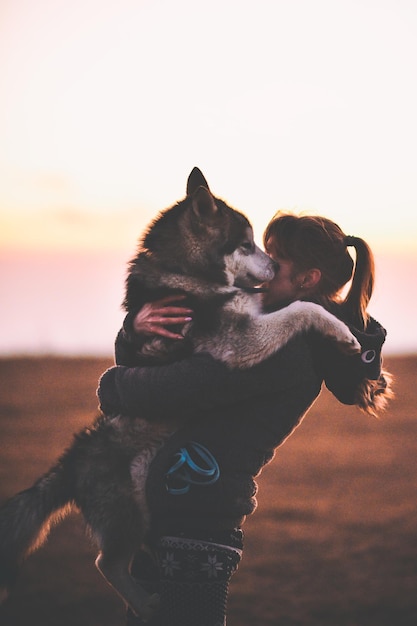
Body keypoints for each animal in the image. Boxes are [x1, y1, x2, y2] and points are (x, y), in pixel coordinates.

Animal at [0, 167, 358, 620]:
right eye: (246, 244)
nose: (277, 265)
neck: (188, 271)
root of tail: (74, 460)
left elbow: (285, 306)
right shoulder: (238, 343)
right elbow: (301, 308)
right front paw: (342, 331)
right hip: (128, 508)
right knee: (107, 562)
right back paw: (144, 602)